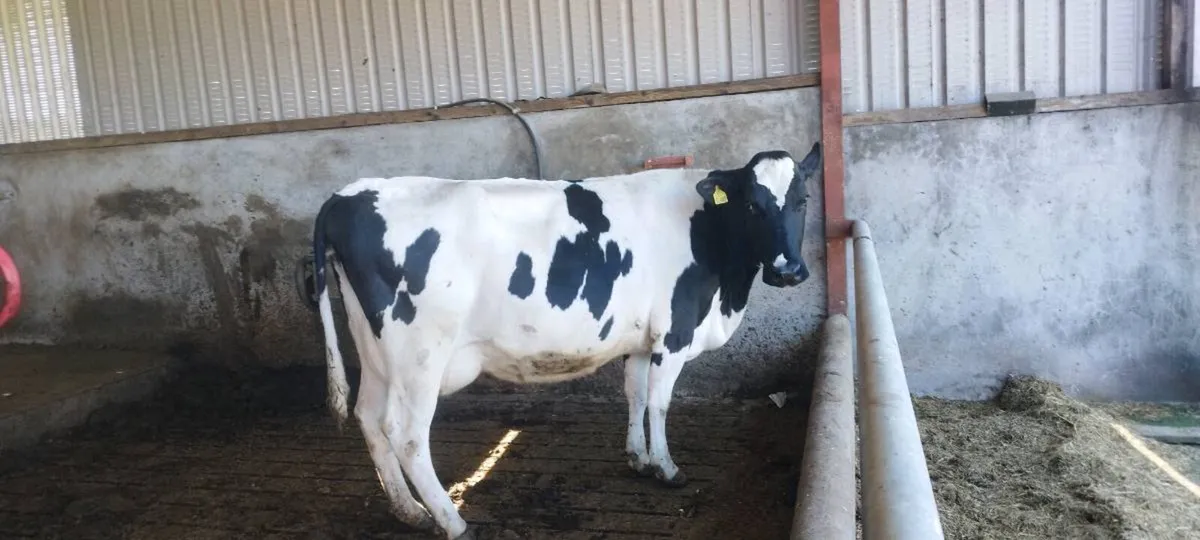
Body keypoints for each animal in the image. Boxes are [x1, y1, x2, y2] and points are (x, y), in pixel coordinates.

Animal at [309, 142, 822, 539]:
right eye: (753, 206)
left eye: (803, 200)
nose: (788, 270)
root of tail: (347, 195)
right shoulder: (673, 334)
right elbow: (660, 402)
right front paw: (666, 467)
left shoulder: (640, 339)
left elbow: (635, 395)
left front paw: (638, 458)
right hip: (419, 354)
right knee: (406, 434)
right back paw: (452, 520)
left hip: (377, 349)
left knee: (369, 417)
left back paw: (409, 511)